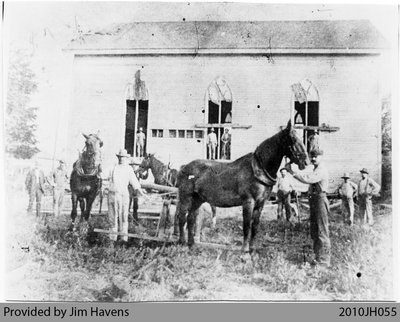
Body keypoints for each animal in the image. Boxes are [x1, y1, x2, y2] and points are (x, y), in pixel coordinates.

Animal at [175, 121, 310, 252]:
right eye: (293, 139)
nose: (306, 162)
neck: (257, 169)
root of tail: (184, 167)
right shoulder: (248, 202)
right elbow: (247, 226)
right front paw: (244, 252)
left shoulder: (260, 204)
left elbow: (255, 226)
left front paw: (251, 249)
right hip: (186, 198)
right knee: (182, 218)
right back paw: (182, 243)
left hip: (197, 199)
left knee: (191, 218)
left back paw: (191, 244)